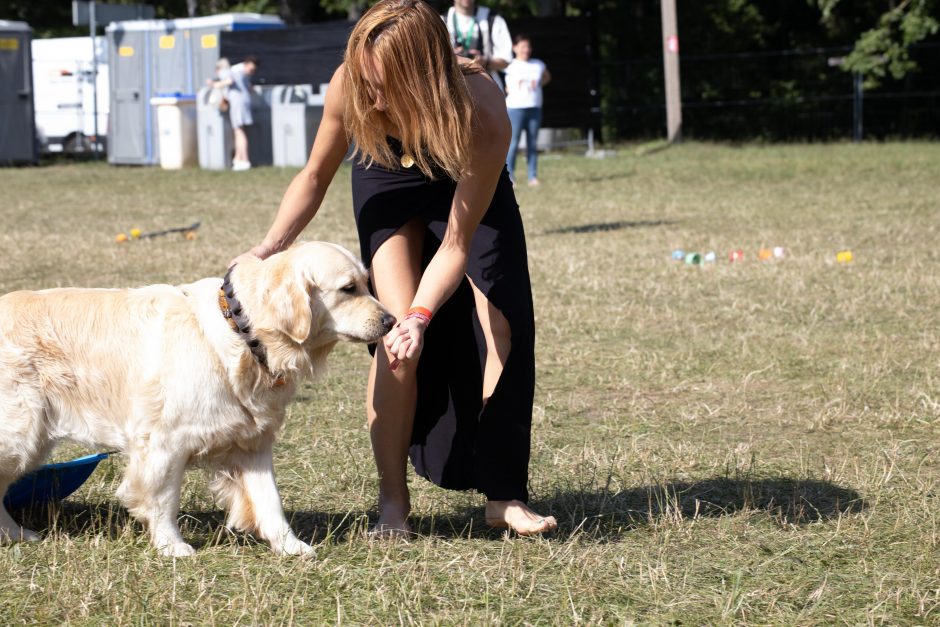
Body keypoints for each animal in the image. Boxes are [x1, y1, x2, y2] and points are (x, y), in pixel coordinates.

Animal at [0, 243, 394, 556]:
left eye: (368, 283)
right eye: (348, 288)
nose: (391, 320)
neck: (241, 333)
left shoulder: (252, 444)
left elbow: (270, 500)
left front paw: (290, 546)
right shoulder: (164, 442)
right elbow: (162, 499)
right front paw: (172, 546)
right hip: (22, 431)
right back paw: (14, 533)